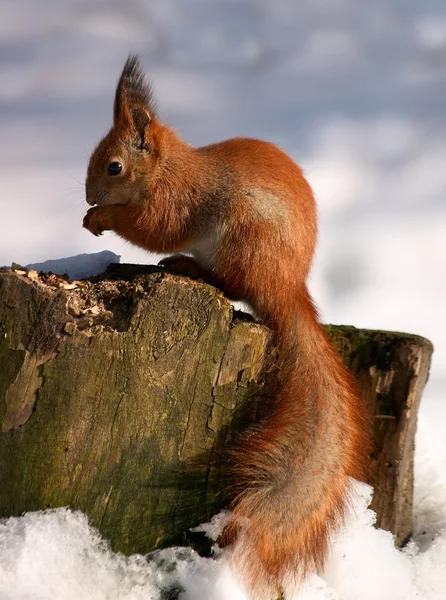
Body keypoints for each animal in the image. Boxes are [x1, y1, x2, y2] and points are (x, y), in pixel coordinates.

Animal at [83, 55, 370, 596]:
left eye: (114, 167)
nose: (89, 194)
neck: (170, 169)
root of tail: (285, 288)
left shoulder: (174, 204)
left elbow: (152, 229)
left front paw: (102, 218)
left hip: (243, 240)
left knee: (229, 283)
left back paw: (189, 267)